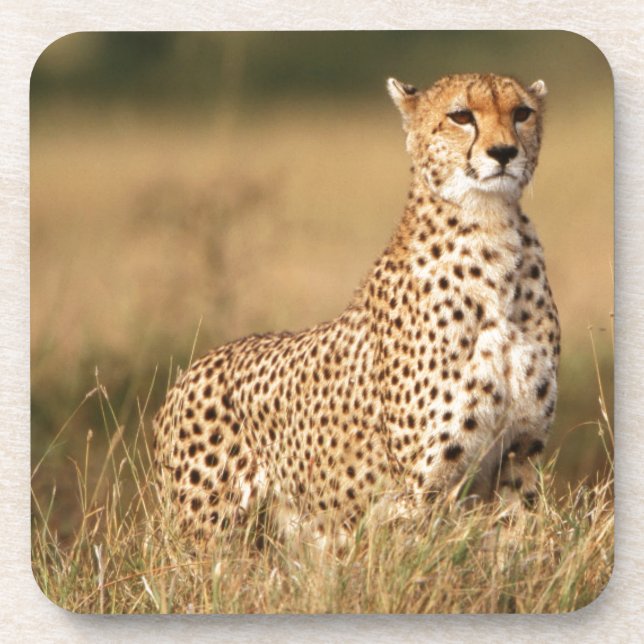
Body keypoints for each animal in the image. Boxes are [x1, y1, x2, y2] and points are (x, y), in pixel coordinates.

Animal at [152, 72, 560, 549]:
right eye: (461, 116)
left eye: (522, 113)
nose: (504, 152)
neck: (491, 230)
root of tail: (190, 370)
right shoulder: (423, 486)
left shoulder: (520, 456)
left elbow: (520, 549)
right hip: (206, 533)